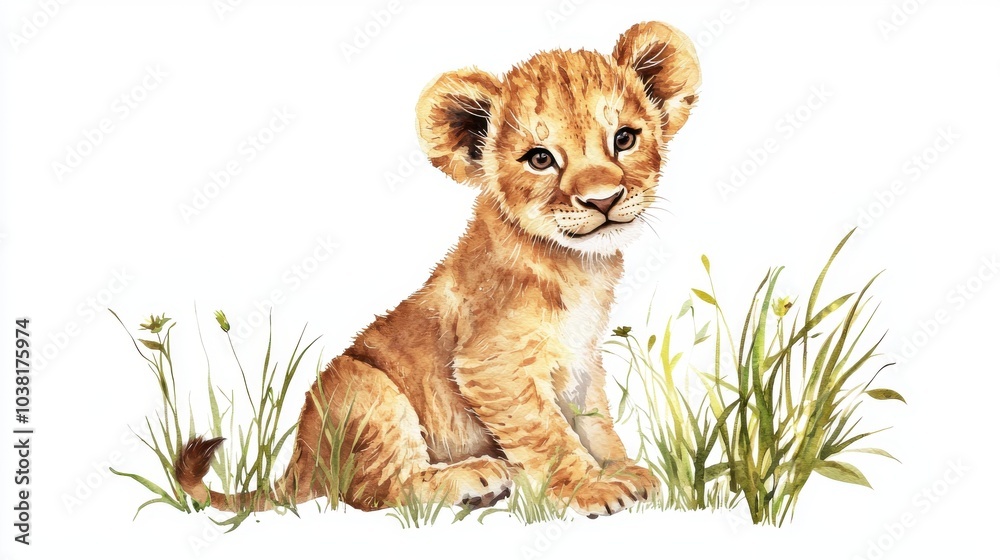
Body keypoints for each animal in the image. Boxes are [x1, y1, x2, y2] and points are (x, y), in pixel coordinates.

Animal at [176, 20, 701, 518]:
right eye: (540, 158)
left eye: (624, 139)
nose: (603, 200)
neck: (578, 266)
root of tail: (301, 460)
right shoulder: (492, 366)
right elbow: (548, 434)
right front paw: (594, 488)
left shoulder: (582, 360)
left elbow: (595, 422)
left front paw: (624, 470)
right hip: (363, 387)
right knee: (377, 490)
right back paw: (476, 477)